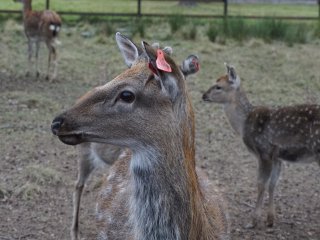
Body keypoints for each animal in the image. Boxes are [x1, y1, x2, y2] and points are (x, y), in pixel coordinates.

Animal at [202, 63, 320, 229]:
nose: (204, 95)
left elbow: (261, 184)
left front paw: (253, 221)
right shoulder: (277, 156)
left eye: (218, 86)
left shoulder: (264, 151)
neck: (244, 124)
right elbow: (272, 184)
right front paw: (270, 219)